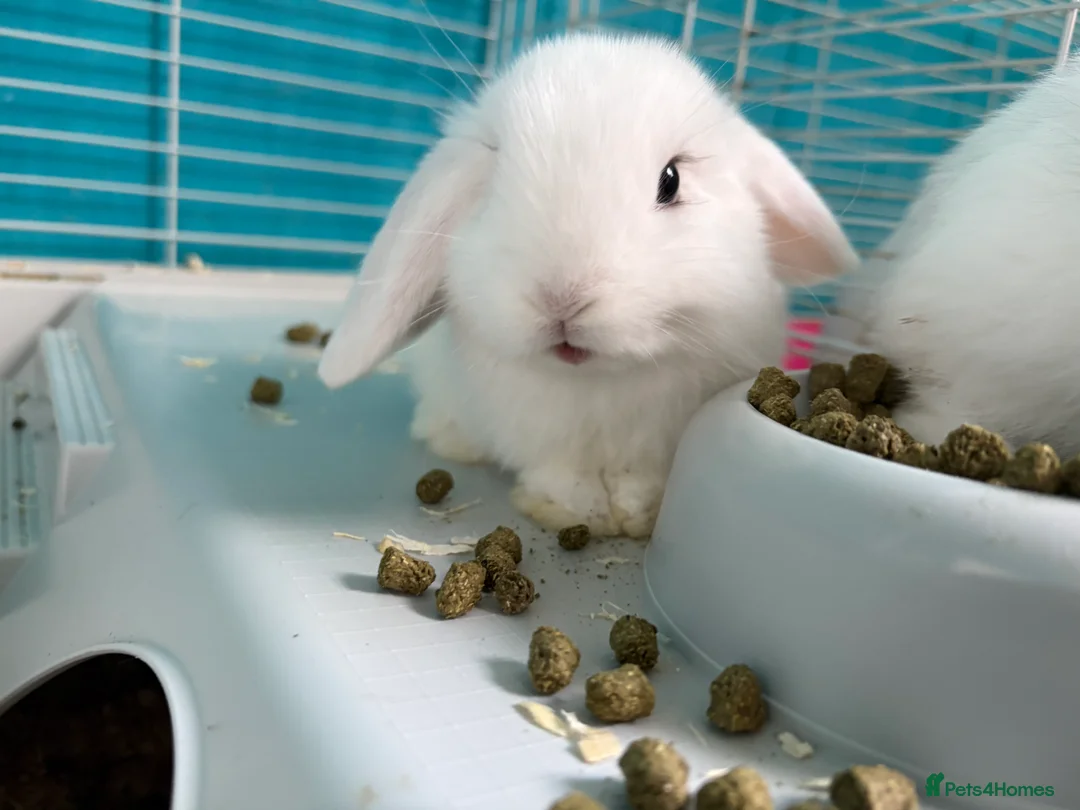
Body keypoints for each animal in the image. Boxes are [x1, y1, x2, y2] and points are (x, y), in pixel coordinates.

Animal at [318, 31, 858, 537]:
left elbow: (641, 479)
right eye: (491, 182)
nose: (561, 299)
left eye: (671, 180)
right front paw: (581, 513)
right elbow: (562, 475)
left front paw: (639, 515)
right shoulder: (539, 436)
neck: (599, 380)